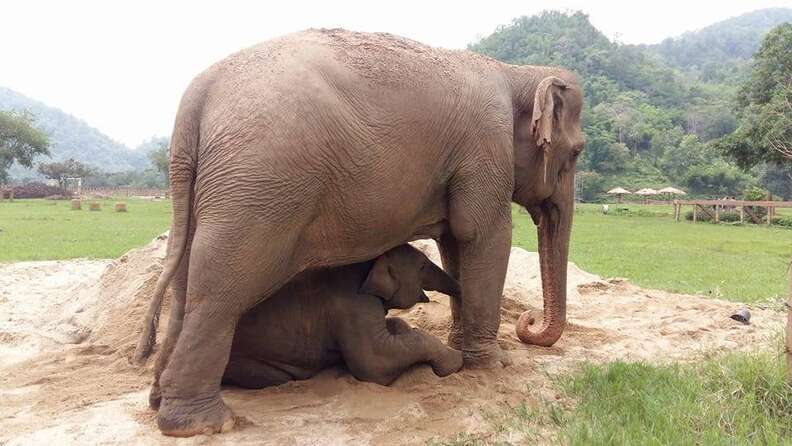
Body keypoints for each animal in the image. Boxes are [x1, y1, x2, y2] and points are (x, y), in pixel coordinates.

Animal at [134, 28, 584, 437]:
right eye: (578, 151)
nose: (527, 322)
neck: (514, 72)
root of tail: (197, 97)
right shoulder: (486, 149)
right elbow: (484, 234)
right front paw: (494, 366)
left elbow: (454, 241)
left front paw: (466, 351)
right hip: (258, 185)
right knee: (220, 290)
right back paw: (204, 425)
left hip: (211, 187)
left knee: (186, 282)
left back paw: (160, 401)